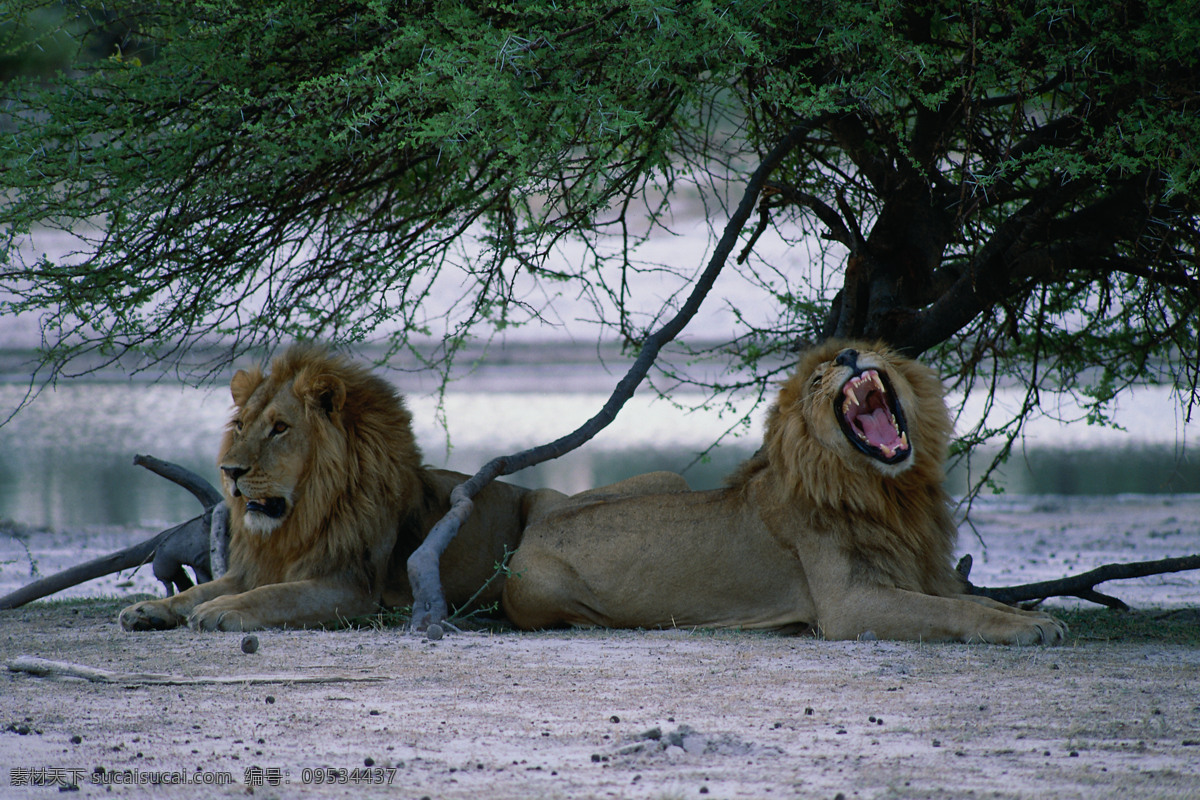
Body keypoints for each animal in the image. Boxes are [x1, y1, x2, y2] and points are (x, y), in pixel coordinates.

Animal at [121, 345, 561, 633]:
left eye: (280, 428)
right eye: (241, 426)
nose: (229, 471)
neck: (298, 522)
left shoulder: (353, 587)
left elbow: (275, 595)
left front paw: (220, 610)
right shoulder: (255, 569)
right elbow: (196, 591)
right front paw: (149, 608)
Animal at [501, 338, 1065, 642]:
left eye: (869, 349)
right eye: (817, 382)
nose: (848, 353)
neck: (890, 493)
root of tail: (535, 526)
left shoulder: (921, 571)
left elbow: (980, 600)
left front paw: (1035, 616)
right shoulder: (848, 605)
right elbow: (954, 610)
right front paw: (1027, 628)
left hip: (667, 479)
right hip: (544, 588)